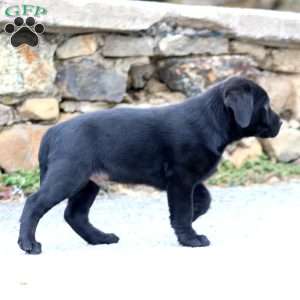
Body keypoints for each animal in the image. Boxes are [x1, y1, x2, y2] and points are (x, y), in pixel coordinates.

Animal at [18, 76, 282, 254]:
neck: (212, 120)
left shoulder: (189, 179)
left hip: (88, 182)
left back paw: (100, 238)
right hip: (69, 175)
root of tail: (52, 131)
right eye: (265, 106)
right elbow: (183, 210)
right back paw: (28, 244)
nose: (281, 122)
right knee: (34, 203)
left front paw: (190, 218)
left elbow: (202, 201)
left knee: (75, 215)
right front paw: (190, 238)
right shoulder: (181, 177)